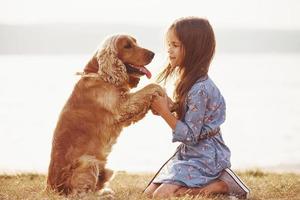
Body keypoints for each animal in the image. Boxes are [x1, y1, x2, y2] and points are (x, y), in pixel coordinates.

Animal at [45, 34, 165, 197]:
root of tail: (50, 188)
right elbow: (152, 86)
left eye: (136, 42)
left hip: (105, 169)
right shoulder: (122, 107)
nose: (152, 54)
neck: (100, 75)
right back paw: (104, 195)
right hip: (89, 163)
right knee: (81, 193)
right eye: (127, 46)